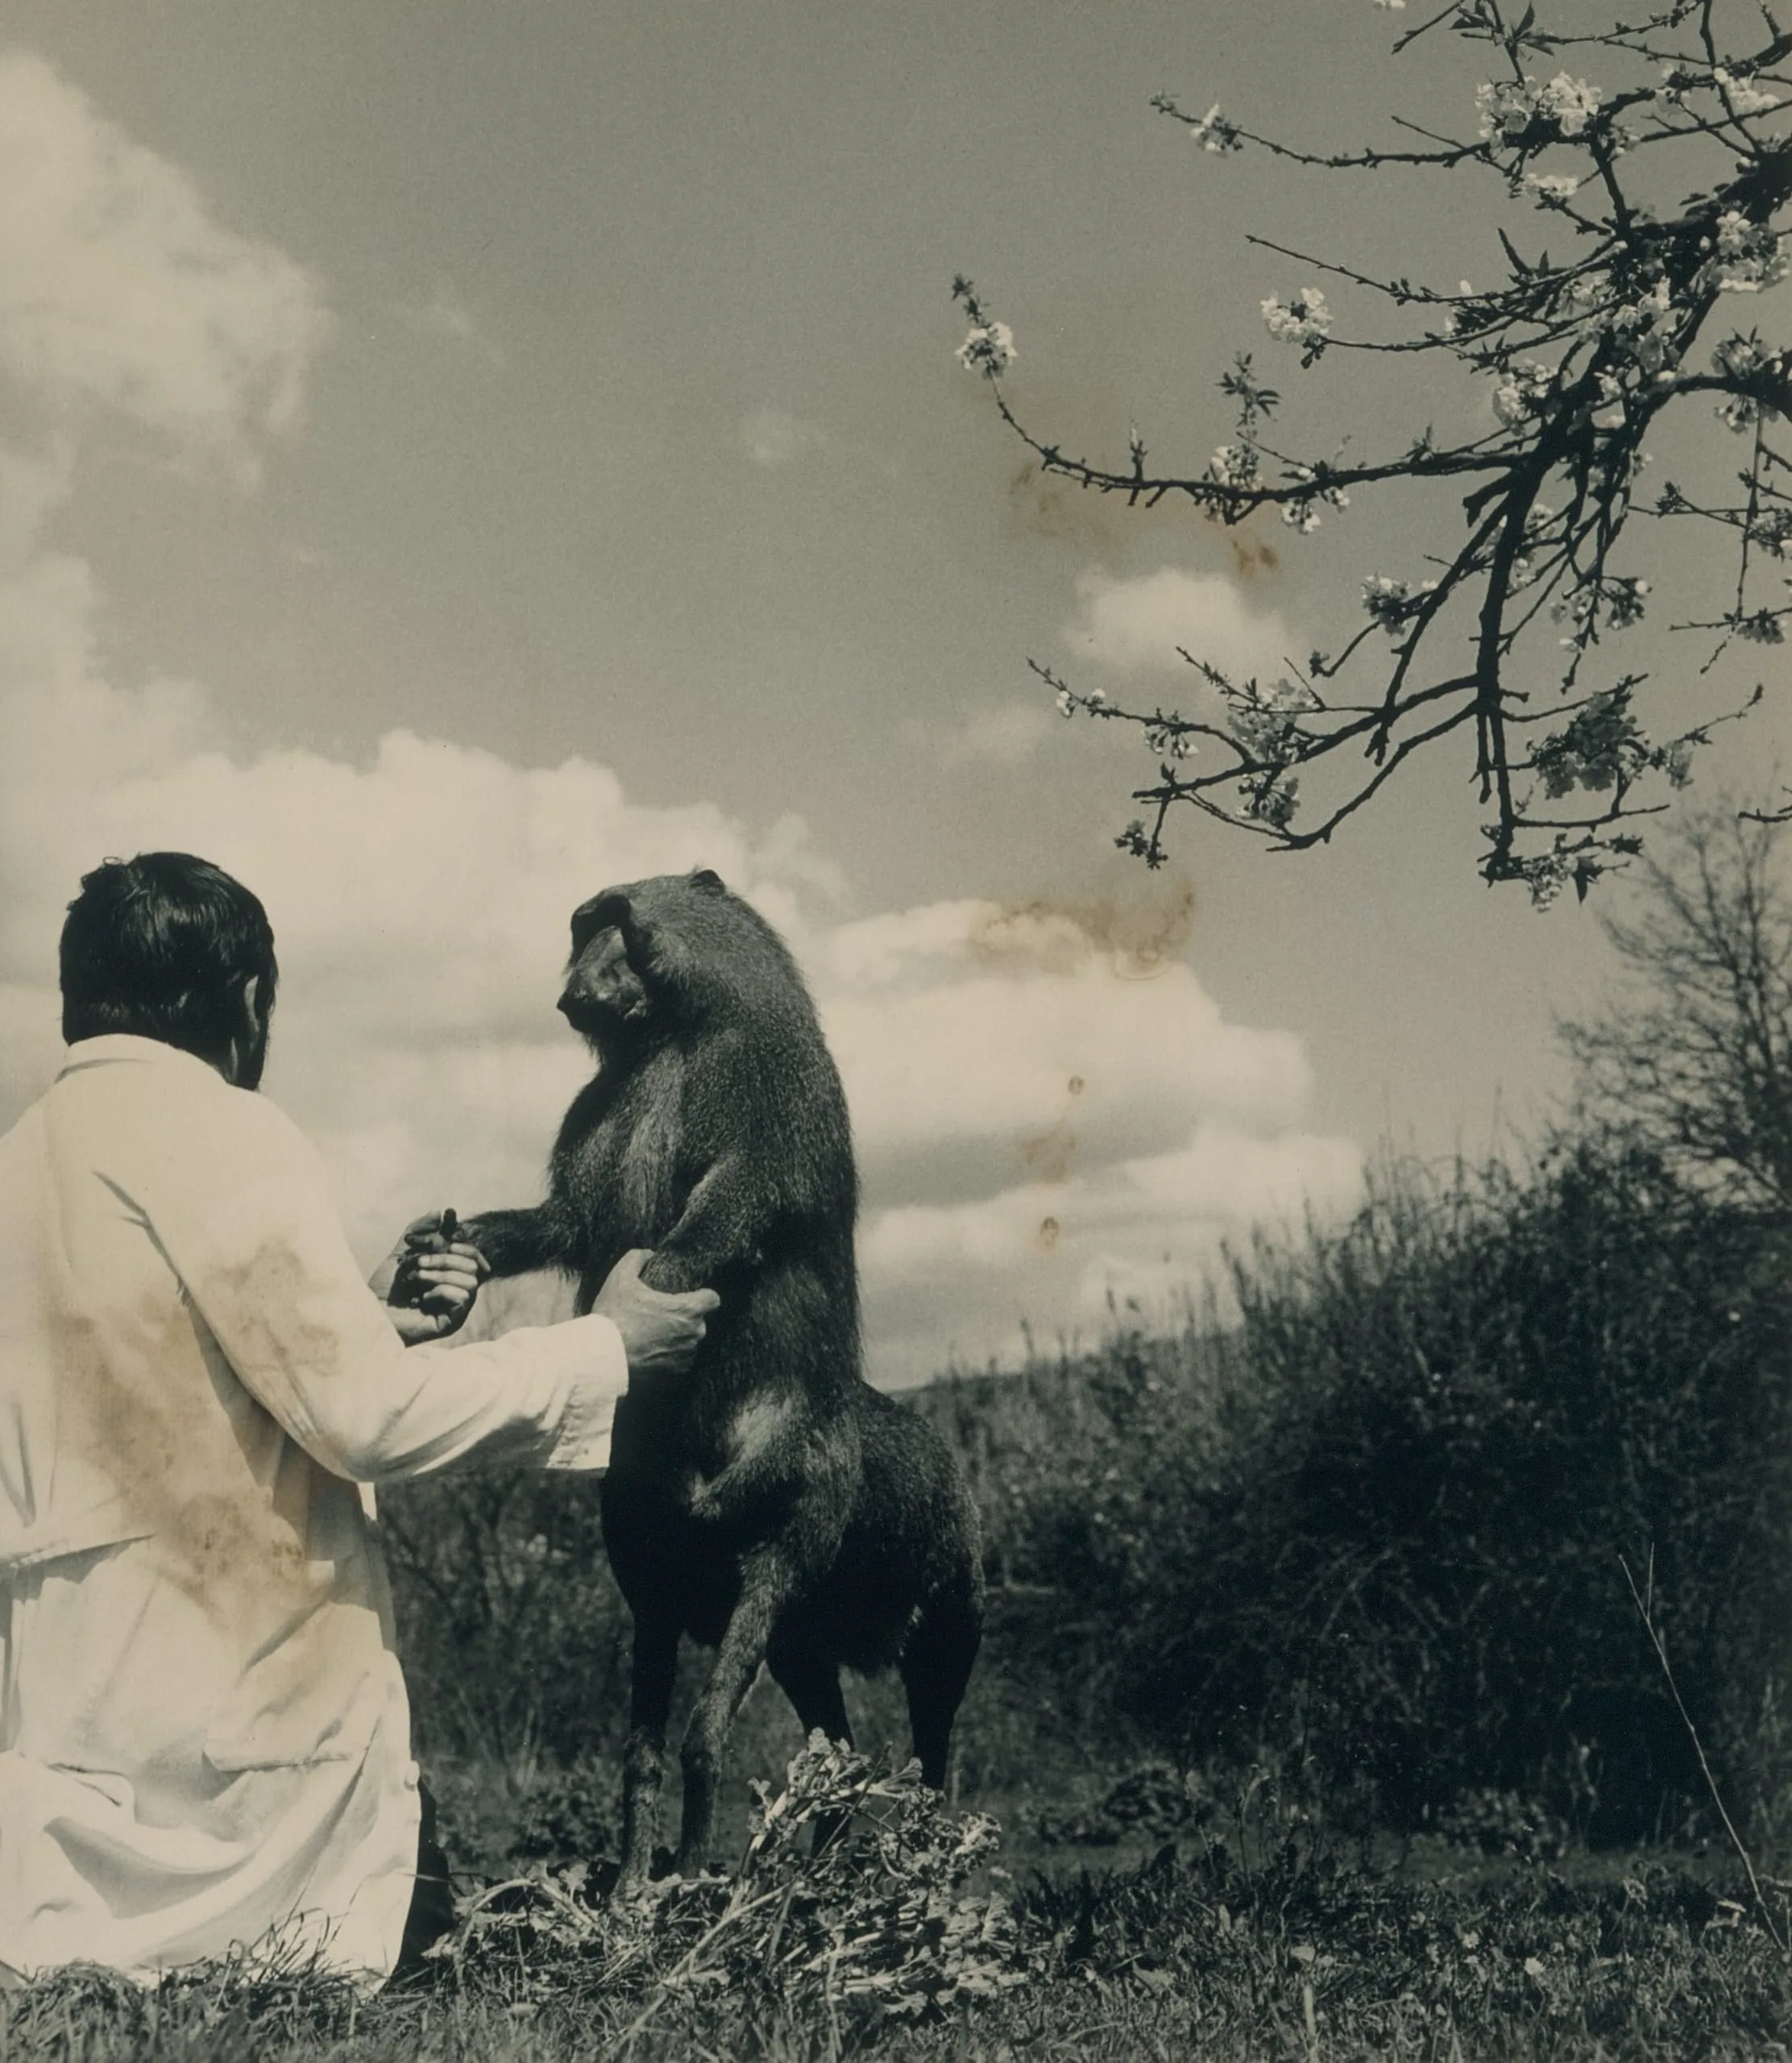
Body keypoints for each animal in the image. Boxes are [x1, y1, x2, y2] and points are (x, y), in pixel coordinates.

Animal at [464, 868, 983, 1881]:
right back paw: (810, 1873)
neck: (667, 1036)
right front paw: (633, 1888)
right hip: (801, 1637)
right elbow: (640, 1753)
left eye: (618, 922)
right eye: (584, 927)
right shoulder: (653, 1594)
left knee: (925, 1752)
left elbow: (711, 1223)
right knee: (836, 1751)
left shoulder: (759, 1118)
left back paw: (916, 1861)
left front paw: (689, 1880)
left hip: (914, 1599)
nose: (573, 992)